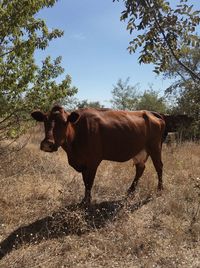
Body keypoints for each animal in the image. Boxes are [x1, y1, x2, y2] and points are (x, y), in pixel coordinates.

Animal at [31, 104, 166, 205]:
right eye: (45, 121)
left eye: (65, 122)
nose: (47, 144)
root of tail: (150, 113)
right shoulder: (83, 163)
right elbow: (85, 181)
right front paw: (85, 200)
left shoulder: (93, 161)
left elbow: (89, 182)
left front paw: (86, 202)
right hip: (140, 151)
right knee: (140, 169)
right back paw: (130, 191)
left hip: (155, 147)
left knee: (159, 166)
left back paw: (159, 190)